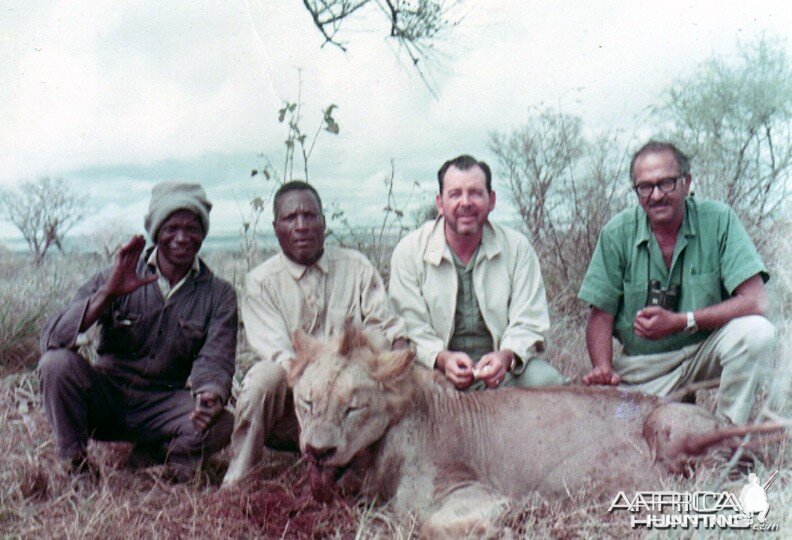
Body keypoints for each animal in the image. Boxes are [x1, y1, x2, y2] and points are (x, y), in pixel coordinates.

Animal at [290, 326, 736, 536]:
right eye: (307, 403)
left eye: (353, 407)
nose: (317, 450)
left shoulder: (474, 491)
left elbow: (429, 524)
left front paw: (517, 518)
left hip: (668, 424)